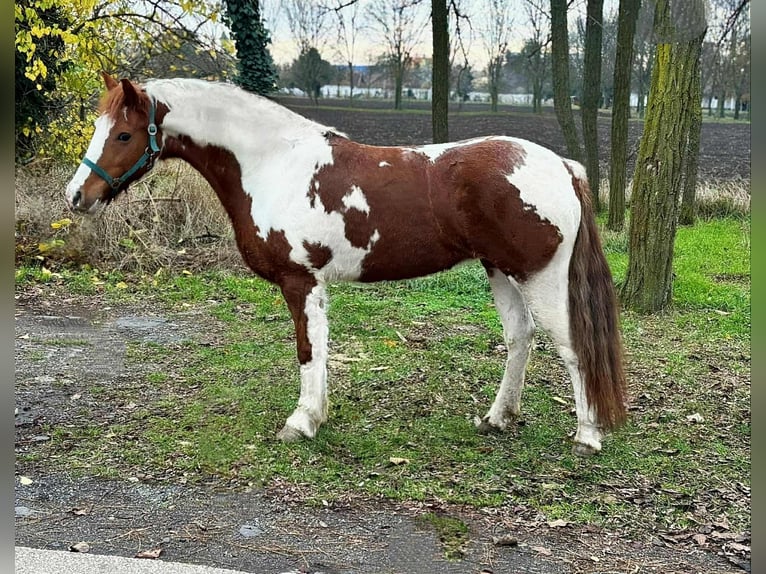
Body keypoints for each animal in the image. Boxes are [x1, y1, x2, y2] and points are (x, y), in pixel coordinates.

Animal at [65, 72, 627, 455]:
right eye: (97, 126)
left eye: (123, 135)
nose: (76, 196)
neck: (272, 163)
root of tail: (562, 165)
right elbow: (319, 351)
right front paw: (317, 414)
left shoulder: (300, 281)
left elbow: (308, 351)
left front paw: (301, 422)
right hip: (500, 271)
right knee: (519, 338)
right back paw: (497, 418)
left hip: (539, 278)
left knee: (572, 347)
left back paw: (587, 437)